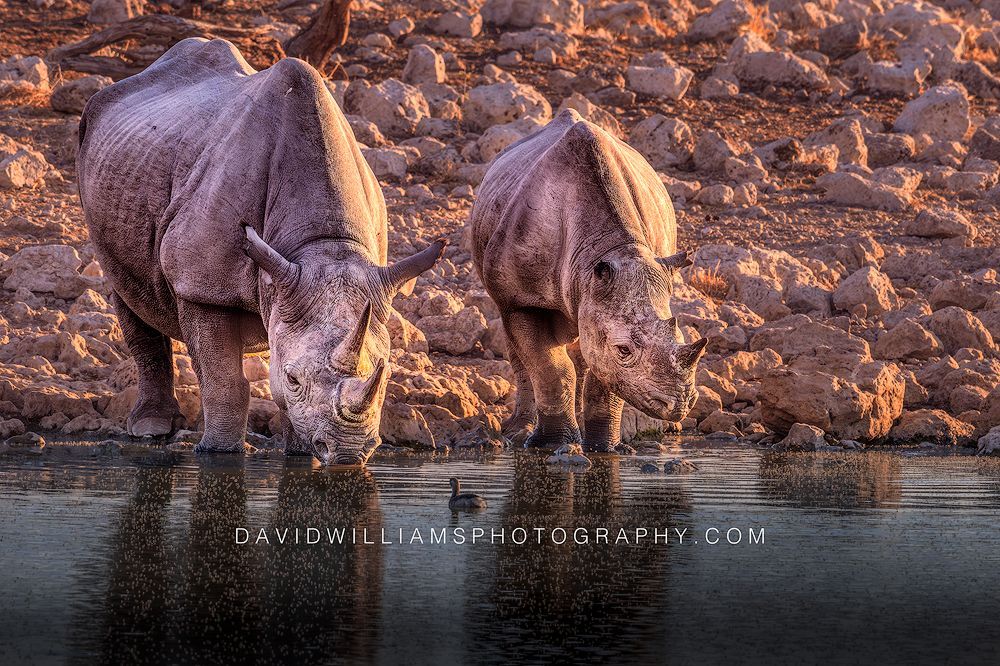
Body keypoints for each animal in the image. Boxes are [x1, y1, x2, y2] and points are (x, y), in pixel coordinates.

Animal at [77, 38, 444, 465]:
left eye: (385, 377)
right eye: (293, 377)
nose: (349, 453)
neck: (323, 244)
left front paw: (301, 455)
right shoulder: (201, 285)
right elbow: (225, 382)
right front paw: (218, 453)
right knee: (124, 287)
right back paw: (151, 429)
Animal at [470, 109, 707, 453]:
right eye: (624, 350)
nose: (679, 405)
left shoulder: (599, 295)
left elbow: (604, 376)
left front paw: (605, 448)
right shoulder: (522, 299)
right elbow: (551, 369)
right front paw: (549, 444)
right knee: (518, 346)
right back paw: (517, 433)